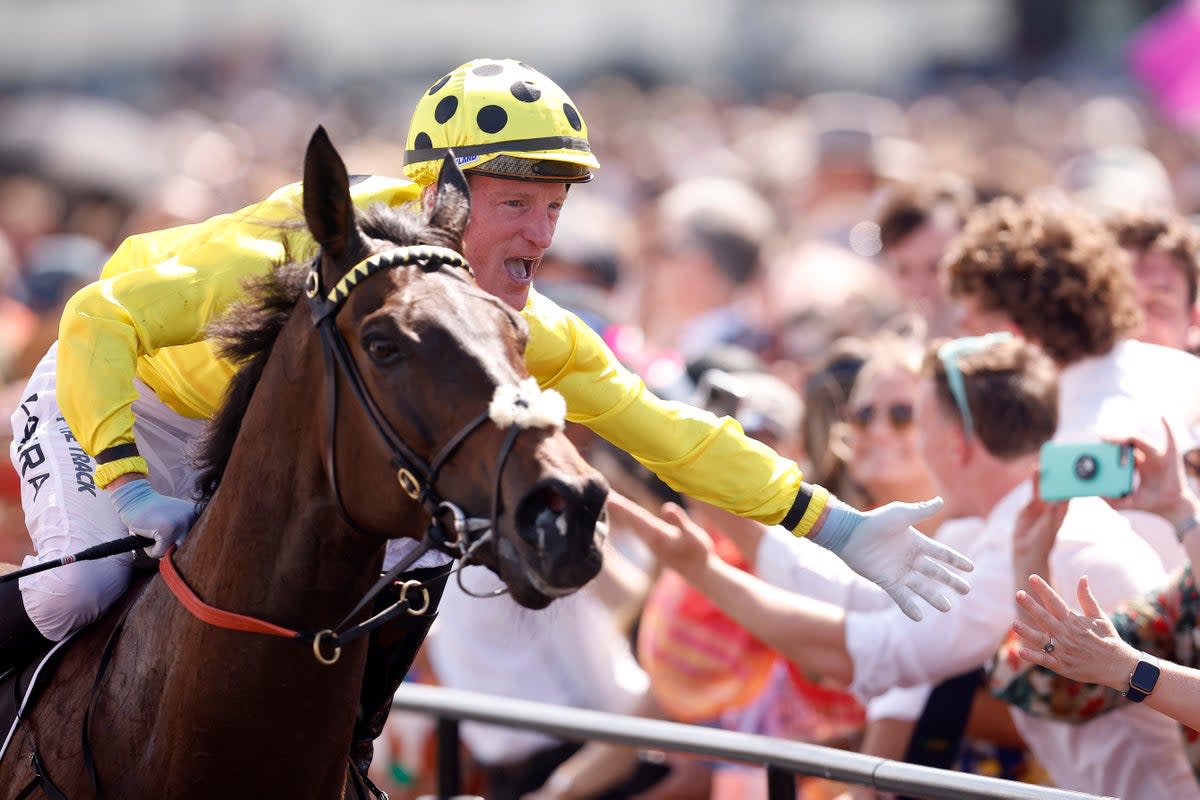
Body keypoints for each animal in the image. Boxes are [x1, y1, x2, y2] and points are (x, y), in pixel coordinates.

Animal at [2, 128, 609, 796]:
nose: (569, 510)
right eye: (382, 344)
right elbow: (105, 308)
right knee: (67, 585)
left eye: (517, 336)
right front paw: (150, 515)